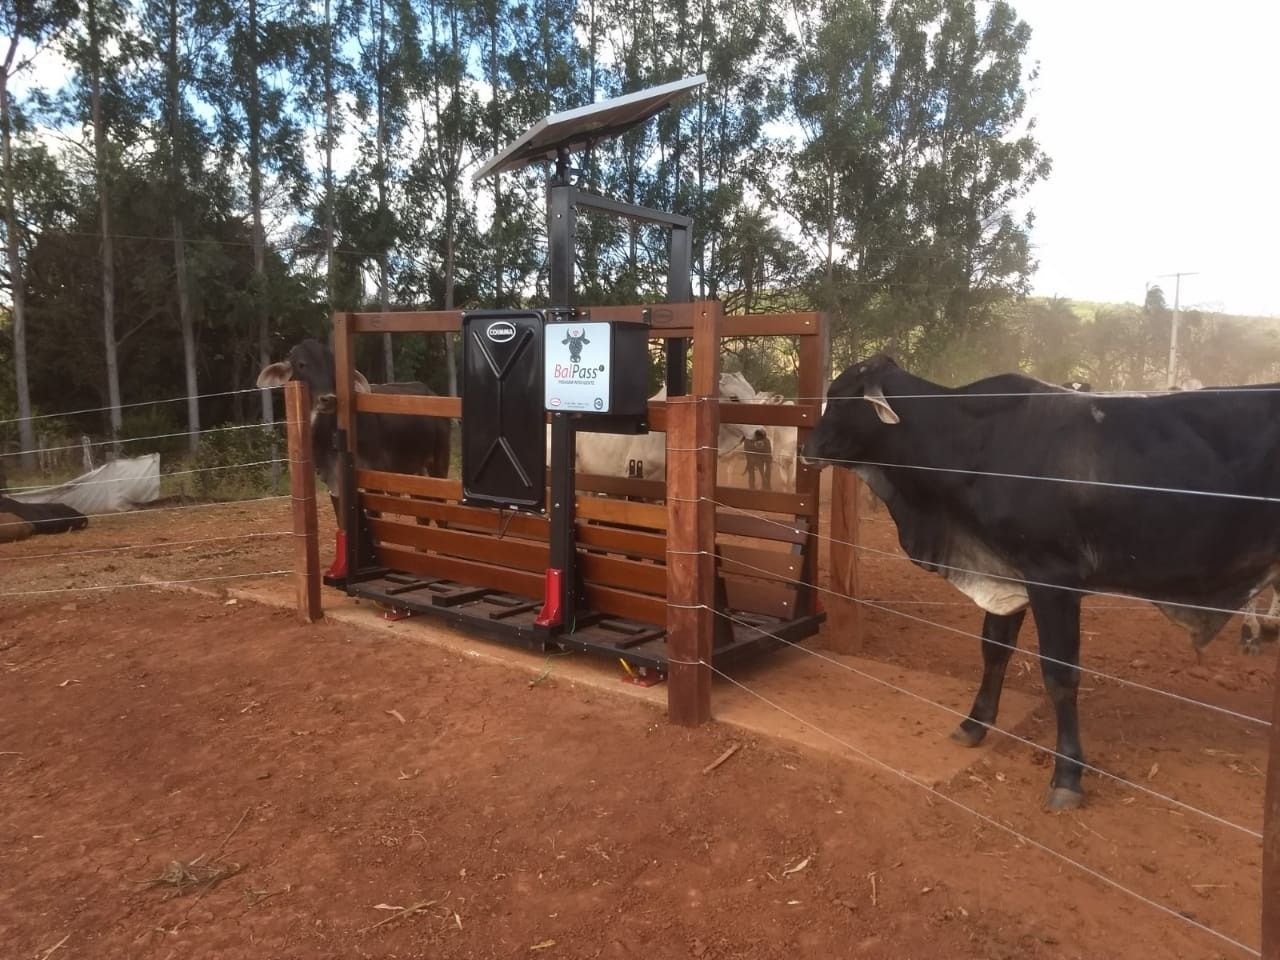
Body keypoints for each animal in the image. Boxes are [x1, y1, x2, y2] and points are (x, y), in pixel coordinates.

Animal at [257, 337, 453, 578]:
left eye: (334, 367)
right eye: (301, 364)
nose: (328, 399)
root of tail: (430, 392)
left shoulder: (373, 476)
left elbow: (374, 518)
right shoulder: (333, 481)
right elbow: (342, 521)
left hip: (437, 464)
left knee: (440, 512)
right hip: (415, 472)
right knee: (423, 514)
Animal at [803, 353, 1280, 814]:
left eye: (842, 397)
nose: (807, 448)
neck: (973, 442)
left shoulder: (1053, 579)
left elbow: (1060, 674)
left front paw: (1067, 776)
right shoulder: (1008, 573)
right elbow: (994, 650)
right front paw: (974, 724)